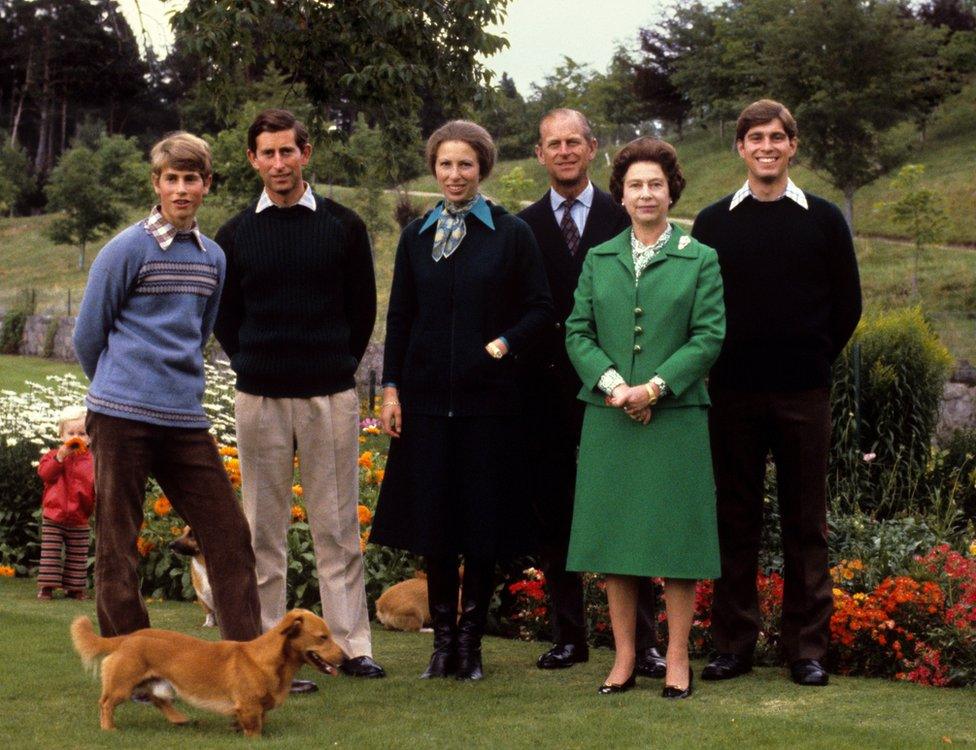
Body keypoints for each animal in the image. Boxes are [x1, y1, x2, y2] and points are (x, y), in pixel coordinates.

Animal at [69, 612, 344, 740]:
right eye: (323, 637)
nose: (345, 659)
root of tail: (127, 637)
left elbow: (258, 720)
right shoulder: (248, 706)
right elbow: (254, 727)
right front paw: (254, 739)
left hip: (158, 682)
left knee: (157, 699)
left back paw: (179, 718)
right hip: (123, 684)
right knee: (105, 703)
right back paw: (108, 728)